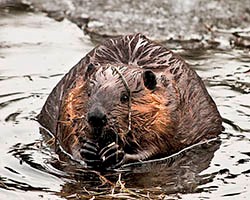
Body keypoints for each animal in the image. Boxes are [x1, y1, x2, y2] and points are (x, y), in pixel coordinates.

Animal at [37, 33, 223, 170]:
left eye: (125, 97)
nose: (96, 117)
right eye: (89, 93)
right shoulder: (67, 101)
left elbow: (156, 147)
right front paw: (86, 150)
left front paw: (114, 152)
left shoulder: (171, 113)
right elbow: (66, 138)